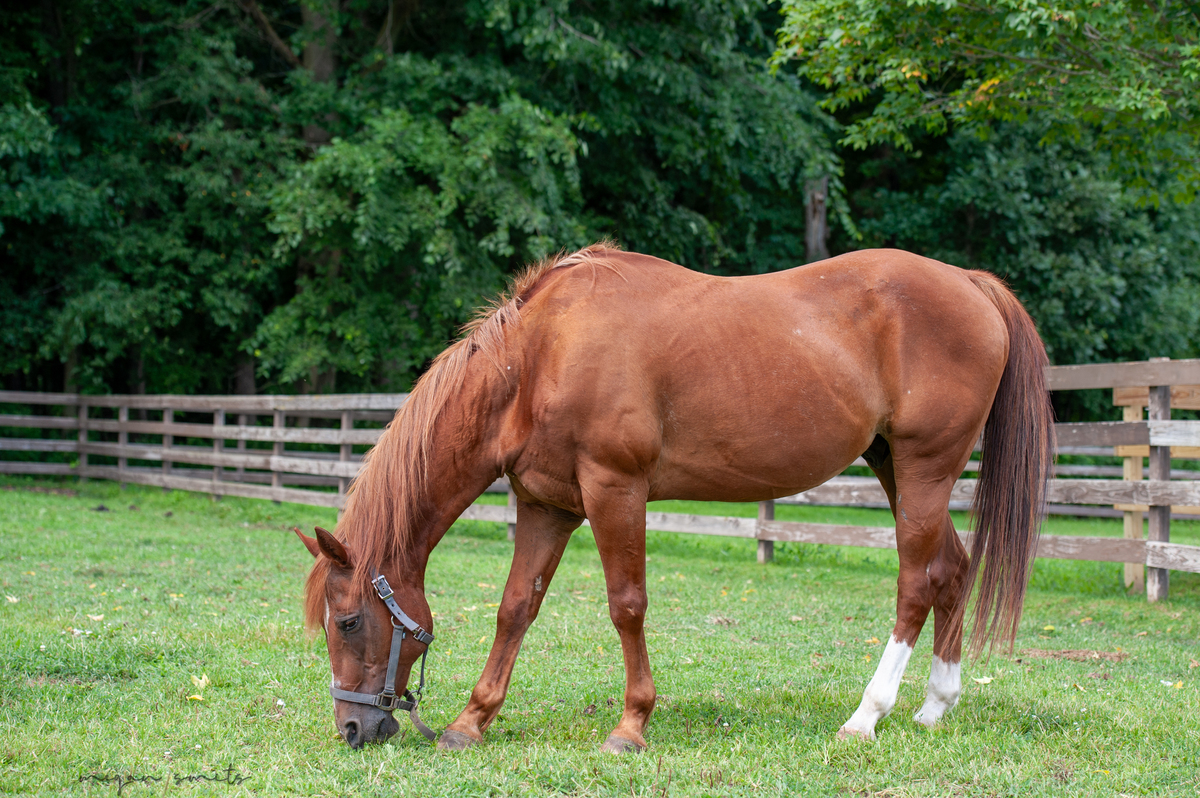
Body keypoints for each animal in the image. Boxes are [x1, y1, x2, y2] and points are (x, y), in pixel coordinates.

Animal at [296, 243, 1054, 752]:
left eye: (350, 621)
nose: (353, 726)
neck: (542, 355)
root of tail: (970, 284)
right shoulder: (548, 506)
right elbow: (515, 608)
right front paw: (470, 721)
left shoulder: (614, 489)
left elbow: (626, 606)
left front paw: (631, 725)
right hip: (896, 466)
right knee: (952, 569)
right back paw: (934, 705)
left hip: (926, 469)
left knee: (916, 582)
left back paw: (867, 716)